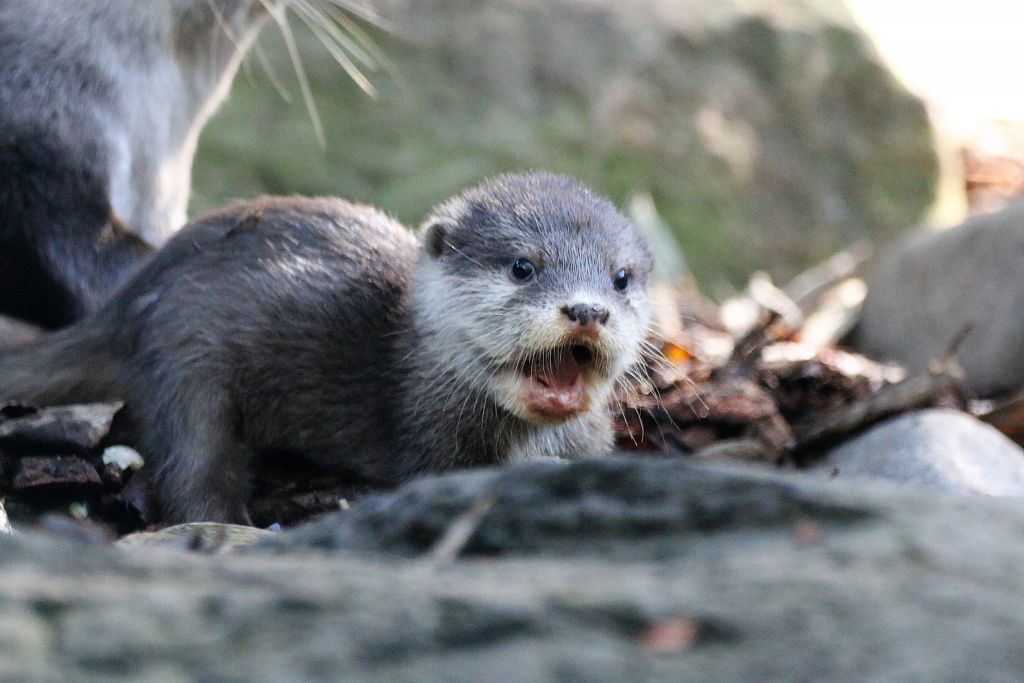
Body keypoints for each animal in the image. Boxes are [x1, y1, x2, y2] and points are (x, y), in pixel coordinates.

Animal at [0, 173, 654, 523]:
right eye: (523, 266)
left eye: (620, 278)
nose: (587, 310)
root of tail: (131, 298)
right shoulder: (432, 444)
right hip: (186, 361)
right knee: (191, 466)